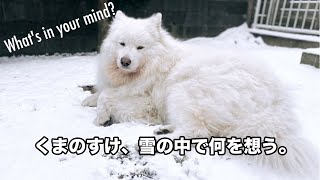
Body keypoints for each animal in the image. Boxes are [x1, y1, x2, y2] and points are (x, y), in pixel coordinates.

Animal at [82, 11, 318, 179]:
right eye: (122, 44)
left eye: (140, 47)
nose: (125, 61)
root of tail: (273, 105)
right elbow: (101, 92)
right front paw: (89, 100)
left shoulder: (147, 104)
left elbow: (107, 97)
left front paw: (100, 117)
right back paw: (163, 130)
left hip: (182, 89)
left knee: (197, 131)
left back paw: (160, 140)